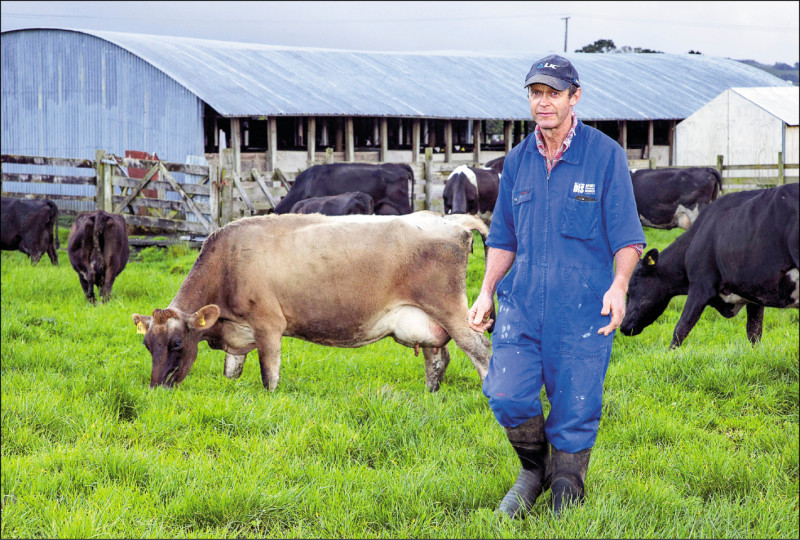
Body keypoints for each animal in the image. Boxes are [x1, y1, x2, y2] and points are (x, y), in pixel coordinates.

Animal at [132, 211, 494, 392]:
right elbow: (231, 371)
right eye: (148, 346)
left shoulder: (268, 324)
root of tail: (451, 220)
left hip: (451, 309)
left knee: (480, 350)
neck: (228, 261)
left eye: (178, 344)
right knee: (438, 358)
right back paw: (429, 395)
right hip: (425, 319)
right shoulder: (238, 332)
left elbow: (269, 374)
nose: (155, 389)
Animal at [620, 184, 796, 348]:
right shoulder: (754, 294)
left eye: (630, 289)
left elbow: (680, 329)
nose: (622, 326)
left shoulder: (700, 286)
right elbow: (754, 333)